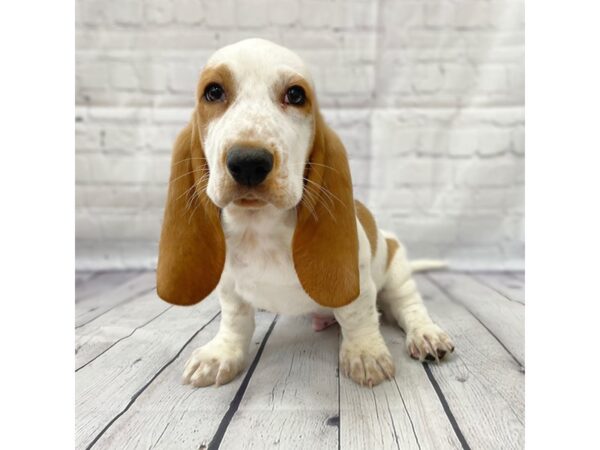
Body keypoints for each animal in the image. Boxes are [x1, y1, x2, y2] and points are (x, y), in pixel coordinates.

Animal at [157, 38, 452, 386]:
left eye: (296, 95)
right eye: (213, 92)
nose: (248, 163)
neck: (261, 229)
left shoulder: (360, 286)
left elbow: (357, 316)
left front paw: (365, 353)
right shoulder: (230, 289)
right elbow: (235, 321)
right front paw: (221, 354)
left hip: (396, 270)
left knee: (409, 306)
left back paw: (426, 335)